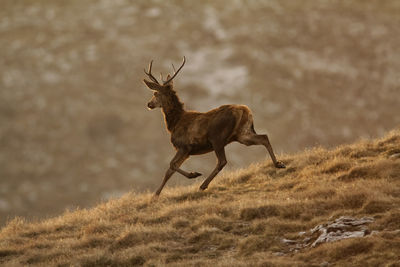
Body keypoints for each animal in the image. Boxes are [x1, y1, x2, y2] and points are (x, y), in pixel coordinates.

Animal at [143, 57, 284, 197]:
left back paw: (203, 185)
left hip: (218, 137)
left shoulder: (184, 146)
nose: (149, 104)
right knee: (264, 137)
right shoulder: (186, 151)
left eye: (155, 93)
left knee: (222, 161)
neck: (174, 123)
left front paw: (194, 174)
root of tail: (244, 110)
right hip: (242, 134)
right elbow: (168, 172)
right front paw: (155, 195)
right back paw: (278, 164)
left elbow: (171, 165)